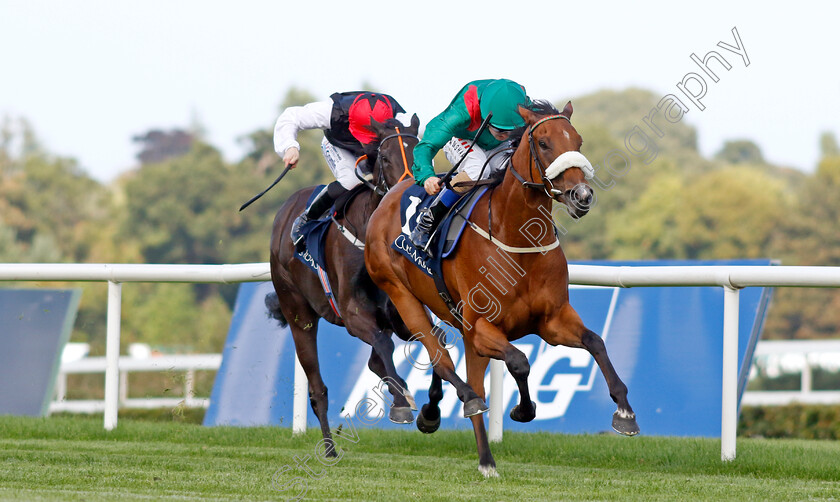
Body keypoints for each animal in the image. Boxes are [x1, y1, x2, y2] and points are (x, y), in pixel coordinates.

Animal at [270, 115, 420, 452]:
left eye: (418, 153)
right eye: (385, 157)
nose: (404, 192)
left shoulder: (396, 311)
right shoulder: (352, 313)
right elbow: (383, 344)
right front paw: (401, 404)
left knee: (375, 360)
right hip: (298, 314)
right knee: (317, 387)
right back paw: (328, 447)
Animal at [364, 101, 640, 474]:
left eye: (578, 141)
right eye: (543, 143)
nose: (581, 195)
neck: (518, 240)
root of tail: (394, 192)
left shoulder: (552, 320)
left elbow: (595, 342)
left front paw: (624, 412)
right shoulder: (481, 328)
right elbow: (519, 361)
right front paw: (523, 409)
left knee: (446, 355)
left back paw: (442, 420)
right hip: (401, 293)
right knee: (447, 364)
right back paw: (476, 436)